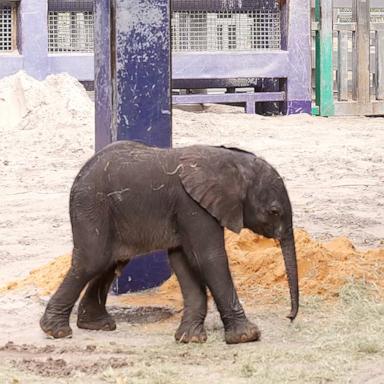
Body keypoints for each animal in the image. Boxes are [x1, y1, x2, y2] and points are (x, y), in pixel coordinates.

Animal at [42, 140, 300, 344]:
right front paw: (247, 336)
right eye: (274, 211)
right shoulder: (192, 205)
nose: (289, 317)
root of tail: (80, 174)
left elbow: (183, 260)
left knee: (112, 262)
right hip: (91, 207)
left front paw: (189, 338)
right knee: (92, 260)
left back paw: (96, 325)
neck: (231, 162)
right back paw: (56, 331)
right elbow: (209, 257)